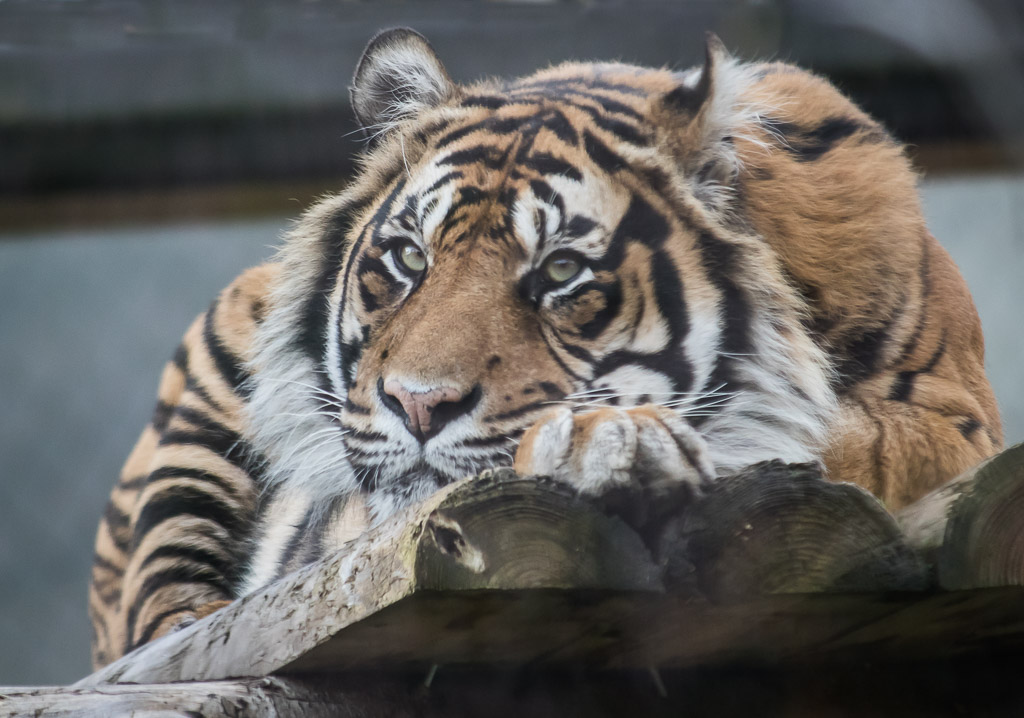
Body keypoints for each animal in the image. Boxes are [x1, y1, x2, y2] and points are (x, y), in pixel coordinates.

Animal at [88, 28, 999, 667]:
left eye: (561, 270)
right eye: (409, 259)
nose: (418, 404)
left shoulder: (955, 419)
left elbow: (834, 436)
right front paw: (612, 442)